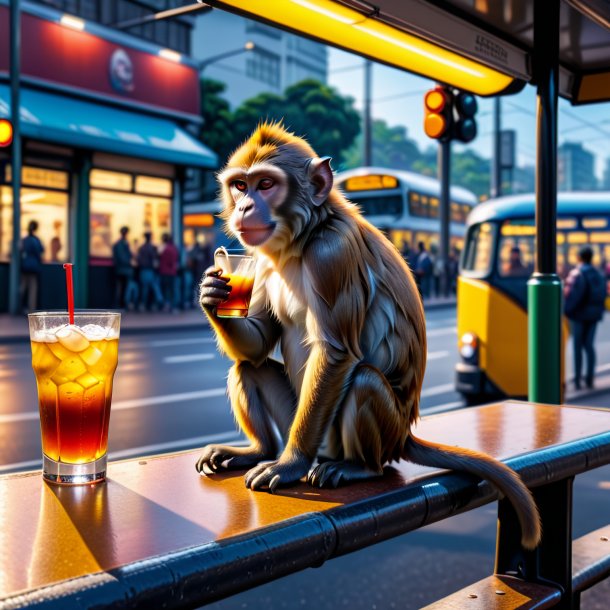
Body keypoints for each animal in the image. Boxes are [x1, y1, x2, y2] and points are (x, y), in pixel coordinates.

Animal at [197, 122, 540, 548]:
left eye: (265, 184)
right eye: (240, 186)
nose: (244, 207)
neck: (303, 237)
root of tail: (404, 435)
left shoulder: (332, 256)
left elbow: (336, 353)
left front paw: (290, 464)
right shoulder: (260, 259)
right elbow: (259, 344)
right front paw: (213, 293)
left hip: (366, 434)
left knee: (362, 381)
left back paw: (356, 467)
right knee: (248, 367)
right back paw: (260, 449)